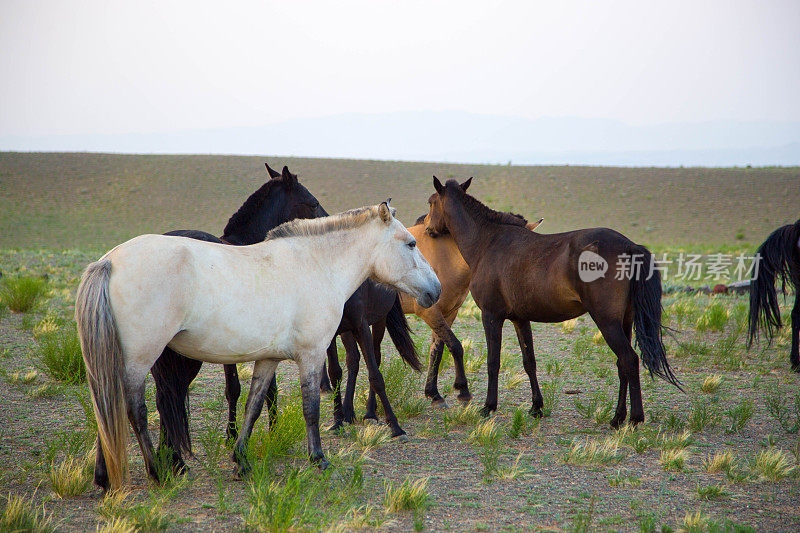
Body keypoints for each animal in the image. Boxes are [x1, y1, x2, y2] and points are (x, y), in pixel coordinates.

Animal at [77, 202, 440, 488]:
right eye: (410, 243)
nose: (435, 291)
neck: (316, 265)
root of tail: (109, 261)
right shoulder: (311, 355)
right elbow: (311, 407)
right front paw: (318, 458)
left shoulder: (269, 360)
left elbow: (253, 407)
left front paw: (241, 461)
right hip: (141, 359)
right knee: (133, 411)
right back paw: (156, 472)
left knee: (107, 406)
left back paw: (104, 477)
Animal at [149, 164, 418, 472]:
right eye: (312, 202)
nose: (328, 220)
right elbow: (248, 390)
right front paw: (253, 434)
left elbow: (251, 390)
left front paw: (254, 434)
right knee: (169, 398)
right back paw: (170, 460)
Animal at [424, 177, 680, 426]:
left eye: (430, 202)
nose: (427, 228)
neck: (488, 241)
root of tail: (629, 245)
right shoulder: (520, 319)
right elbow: (529, 361)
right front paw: (536, 406)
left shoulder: (491, 316)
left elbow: (493, 361)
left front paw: (489, 406)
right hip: (624, 322)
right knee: (621, 365)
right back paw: (618, 416)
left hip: (607, 322)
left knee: (628, 360)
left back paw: (634, 418)